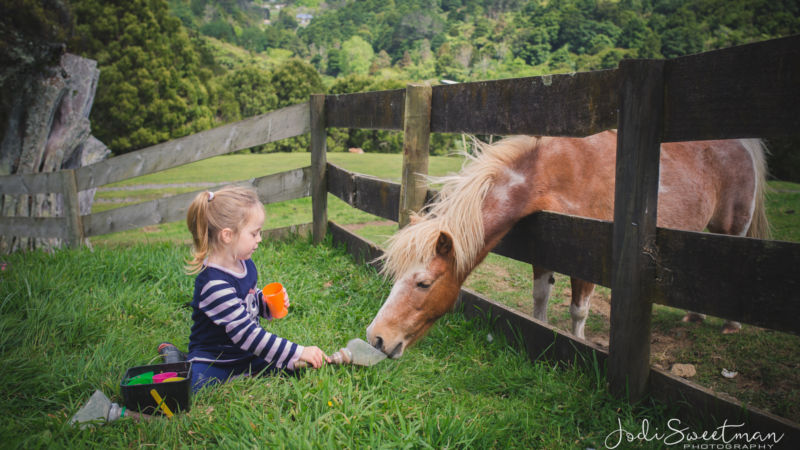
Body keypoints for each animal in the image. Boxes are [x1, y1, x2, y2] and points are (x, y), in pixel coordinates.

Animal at [364, 130, 768, 358]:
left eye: (423, 283)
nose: (376, 338)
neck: (556, 170)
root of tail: (741, 144)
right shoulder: (546, 248)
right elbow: (541, 298)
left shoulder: (589, 257)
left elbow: (578, 312)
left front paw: (580, 345)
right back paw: (695, 317)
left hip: (733, 229)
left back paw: (731, 325)